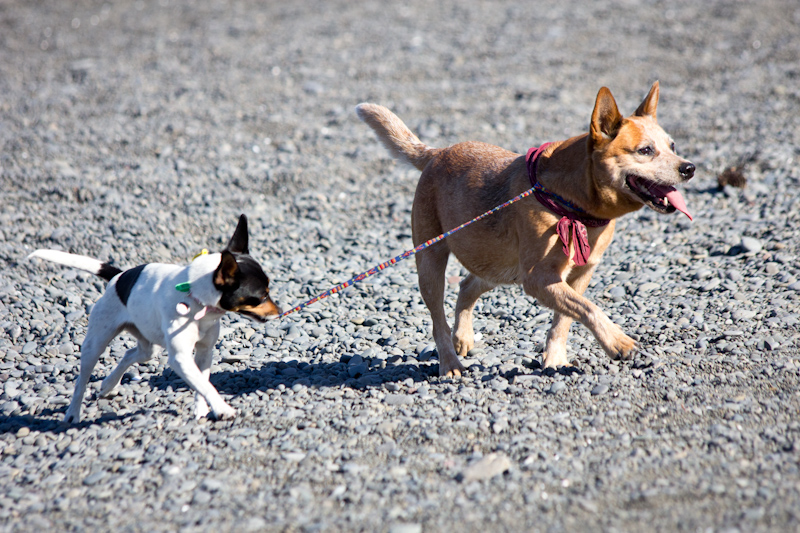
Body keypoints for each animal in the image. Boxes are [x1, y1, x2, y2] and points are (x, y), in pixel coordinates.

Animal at [28, 214, 282, 422]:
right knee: (82, 380)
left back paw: (109, 385)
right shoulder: (180, 358)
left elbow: (203, 383)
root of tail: (119, 276)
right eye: (262, 296)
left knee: (130, 354)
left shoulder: (204, 352)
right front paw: (223, 409)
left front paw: (202, 410)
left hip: (149, 347)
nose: (279, 311)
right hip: (96, 342)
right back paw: (73, 413)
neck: (198, 302)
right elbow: (205, 385)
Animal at [356, 81, 692, 376]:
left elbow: (566, 318)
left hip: (498, 266)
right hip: (432, 261)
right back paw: (450, 363)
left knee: (467, 286)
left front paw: (555, 359)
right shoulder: (538, 277)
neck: (575, 203)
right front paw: (619, 343)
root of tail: (437, 153)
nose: (689, 168)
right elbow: (589, 308)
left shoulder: (579, 273)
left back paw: (462, 336)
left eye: (672, 145)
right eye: (645, 150)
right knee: (438, 319)